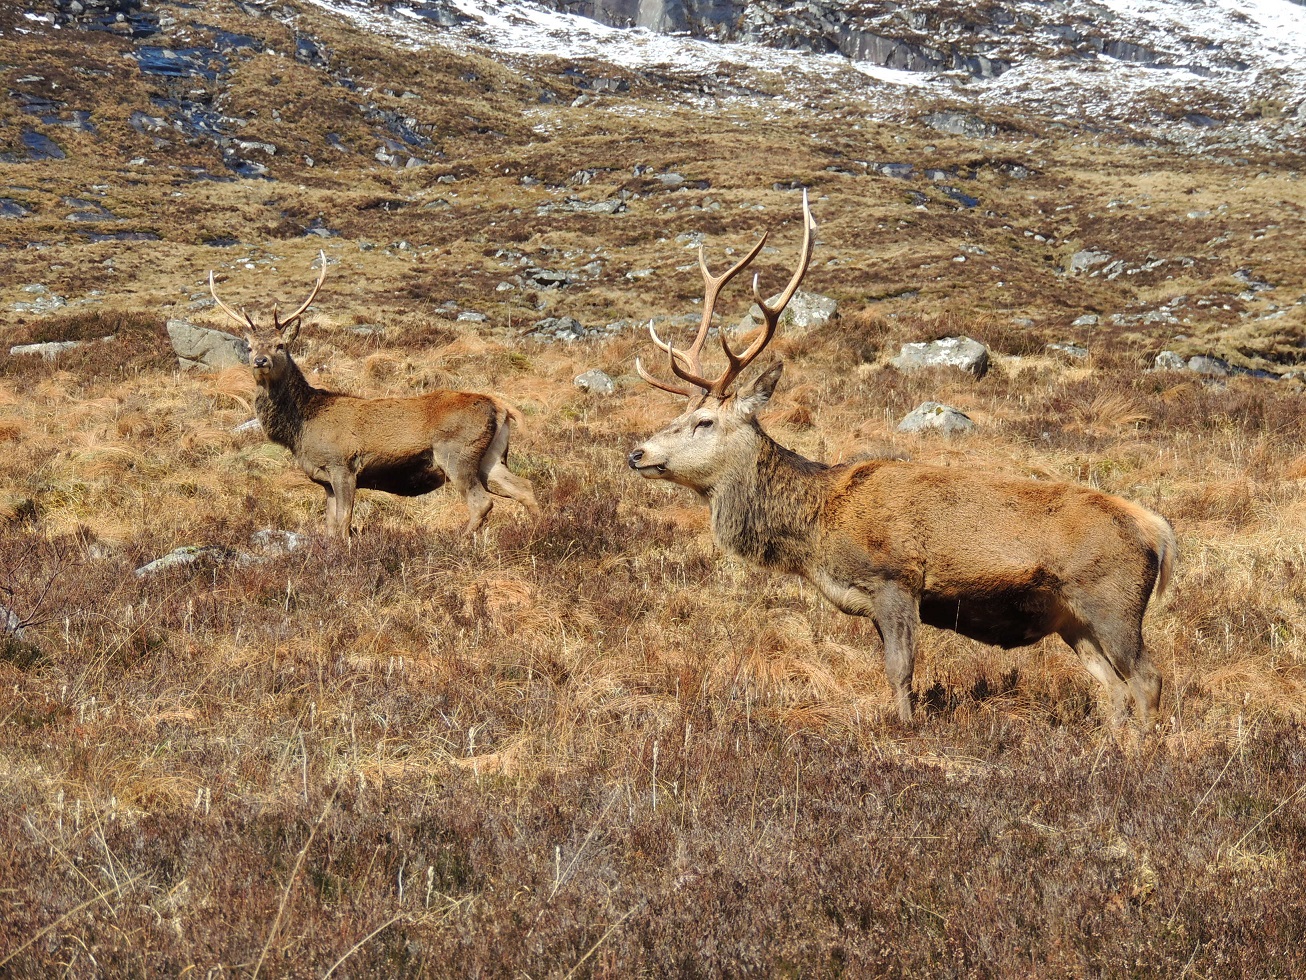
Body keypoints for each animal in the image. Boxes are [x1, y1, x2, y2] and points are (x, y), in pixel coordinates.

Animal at [209, 252, 539, 543]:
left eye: (280, 345)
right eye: (250, 346)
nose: (260, 361)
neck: (301, 428)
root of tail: (501, 407)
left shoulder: (343, 465)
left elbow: (344, 522)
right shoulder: (325, 480)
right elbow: (331, 525)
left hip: (457, 453)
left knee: (481, 502)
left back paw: (460, 540)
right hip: (491, 456)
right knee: (524, 487)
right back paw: (541, 530)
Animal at [627, 193, 1176, 727]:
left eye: (704, 422)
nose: (637, 452)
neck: (817, 528)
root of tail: (1159, 532)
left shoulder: (896, 578)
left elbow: (900, 671)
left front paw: (907, 730)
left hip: (1113, 601)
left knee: (1147, 679)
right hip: (1073, 620)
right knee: (1114, 689)